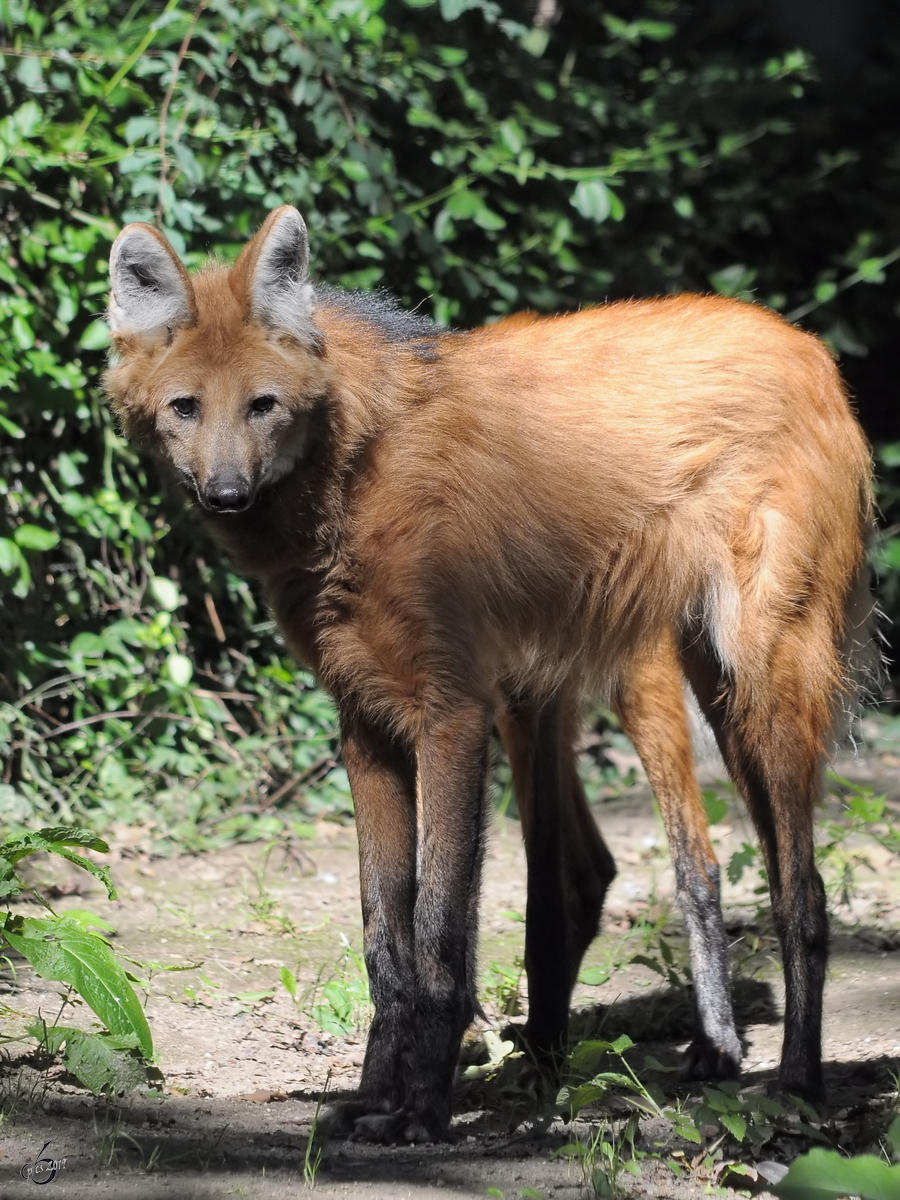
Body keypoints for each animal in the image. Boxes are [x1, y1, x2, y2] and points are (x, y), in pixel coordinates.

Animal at [103, 206, 873, 1142]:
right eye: (185, 407)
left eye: (263, 406)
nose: (225, 494)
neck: (354, 470)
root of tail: (809, 347)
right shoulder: (368, 728)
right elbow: (384, 938)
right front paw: (376, 1097)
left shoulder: (451, 714)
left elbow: (438, 932)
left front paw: (423, 1112)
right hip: (704, 690)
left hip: (754, 681)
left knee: (802, 892)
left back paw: (796, 1084)